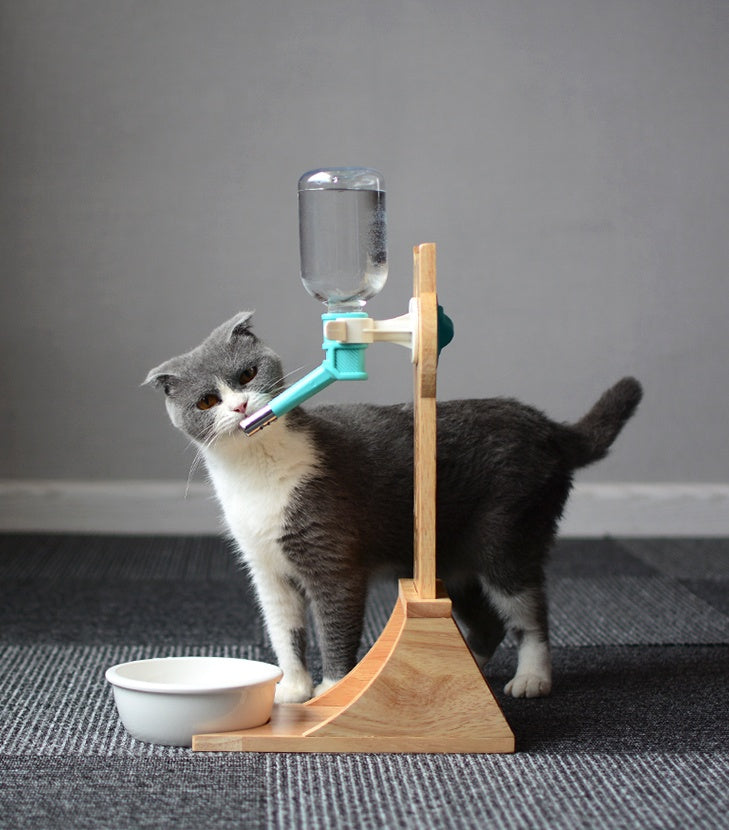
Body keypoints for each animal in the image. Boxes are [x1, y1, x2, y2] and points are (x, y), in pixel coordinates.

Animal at [145, 312, 640, 704]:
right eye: (207, 401)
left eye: (248, 374)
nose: (241, 405)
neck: (256, 472)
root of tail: (549, 428)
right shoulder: (265, 567)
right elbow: (284, 628)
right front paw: (292, 689)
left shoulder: (332, 556)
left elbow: (334, 626)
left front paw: (333, 691)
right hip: (451, 558)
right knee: (487, 624)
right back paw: (464, 667)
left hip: (508, 532)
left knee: (528, 610)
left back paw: (531, 678)